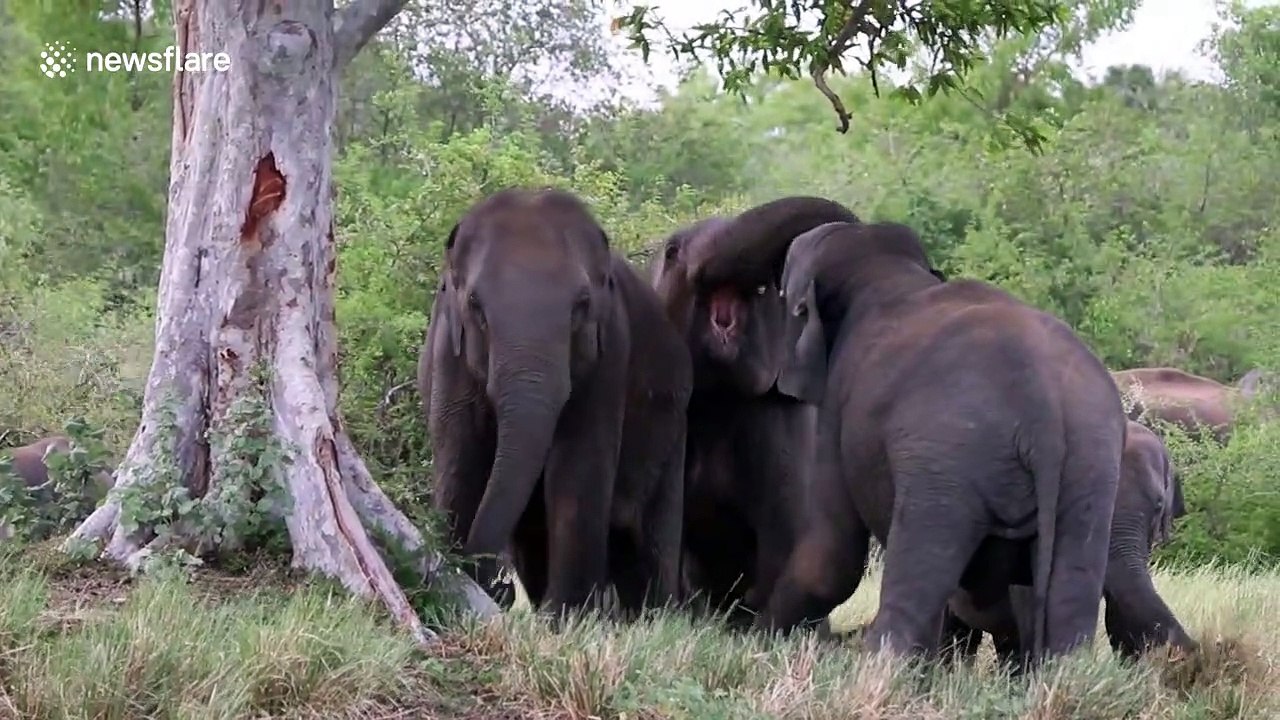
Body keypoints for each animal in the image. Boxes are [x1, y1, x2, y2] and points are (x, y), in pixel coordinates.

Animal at [418, 187, 693, 618]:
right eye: (476, 306)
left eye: (581, 304)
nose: (499, 588)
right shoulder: (448, 350)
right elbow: (459, 457)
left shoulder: (609, 355)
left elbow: (579, 464)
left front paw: (568, 617)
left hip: (675, 429)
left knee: (651, 540)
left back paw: (654, 616)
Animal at [695, 216, 1126, 666]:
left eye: (782, 298)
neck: (884, 268)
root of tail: (1046, 415)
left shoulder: (839, 405)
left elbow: (832, 555)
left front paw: (756, 640)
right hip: (1091, 464)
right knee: (1070, 590)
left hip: (945, 464)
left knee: (920, 565)